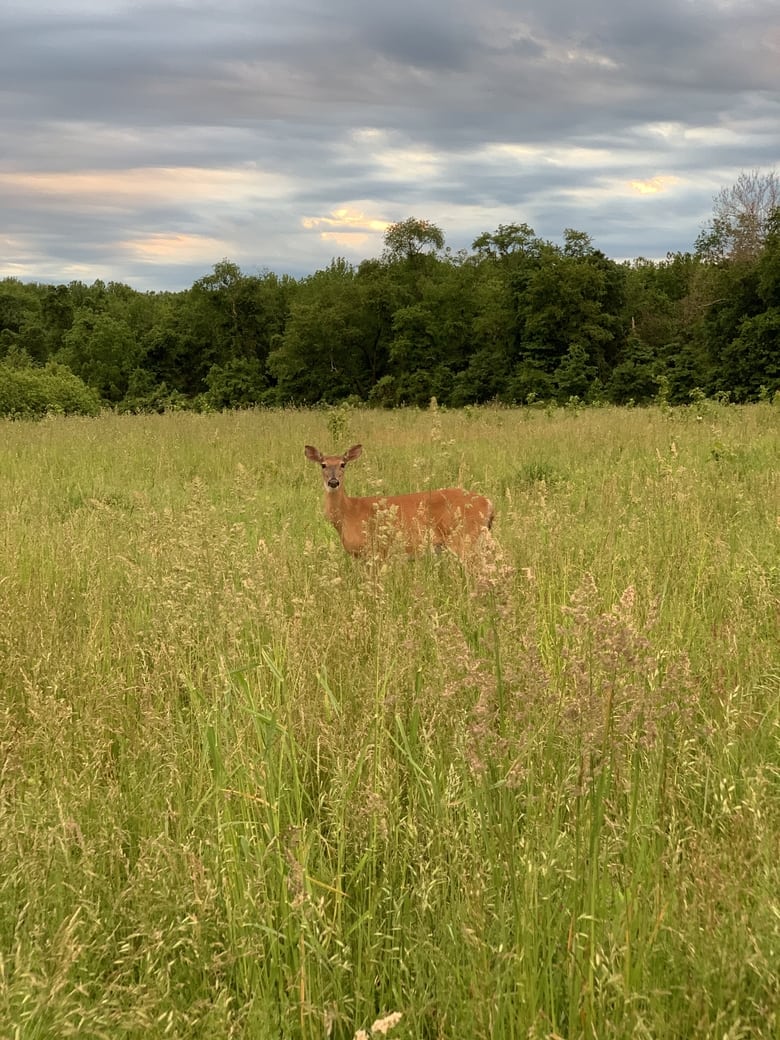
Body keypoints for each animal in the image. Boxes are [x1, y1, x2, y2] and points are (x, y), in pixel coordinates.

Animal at [305, 440, 495, 557]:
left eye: (343, 464)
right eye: (323, 465)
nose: (333, 482)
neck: (348, 512)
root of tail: (488, 503)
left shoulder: (376, 550)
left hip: (464, 538)